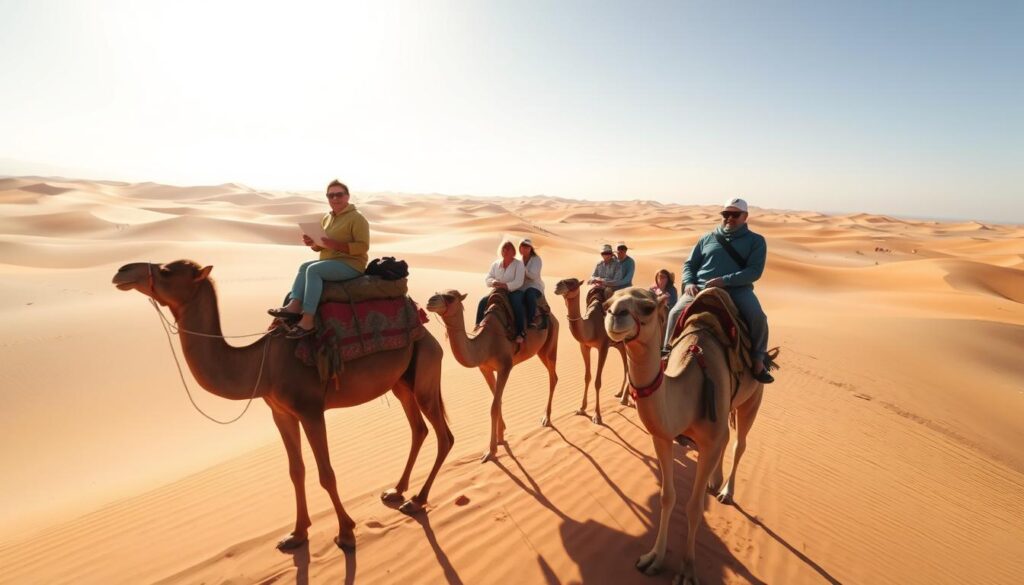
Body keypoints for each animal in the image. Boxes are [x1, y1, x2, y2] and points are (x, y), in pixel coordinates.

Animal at [112, 260, 453, 552]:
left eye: (167, 271)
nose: (122, 271)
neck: (264, 365)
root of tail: (426, 328)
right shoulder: (281, 413)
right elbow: (295, 471)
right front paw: (297, 535)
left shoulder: (311, 410)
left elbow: (326, 473)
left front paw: (345, 533)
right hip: (401, 383)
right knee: (419, 429)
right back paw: (396, 491)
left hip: (424, 375)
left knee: (443, 435)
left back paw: (417, 500)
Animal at [425, 289, 558, 463]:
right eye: (437, 292)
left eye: (450, 297)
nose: (430, 301)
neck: (486, 343)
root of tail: (552, 316)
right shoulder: (485, 368)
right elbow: (497, 400)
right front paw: (501, 436)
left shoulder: (505, 367)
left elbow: (494, 406)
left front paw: (491, 451)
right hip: (541, 350)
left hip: (550, 344)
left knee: (553, 377)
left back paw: (546, 418)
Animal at [553, 278, 629, 424]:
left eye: (572, 282)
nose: (557, 285)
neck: (592, 326)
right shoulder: (584, 346)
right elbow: (587, 377)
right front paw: (581, 408)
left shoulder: (603, 347)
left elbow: (598, 382)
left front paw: (597, 416)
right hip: (621, 345)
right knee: (627, 367)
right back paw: (620, 394)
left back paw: (625, 398)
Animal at [604, 287, 772, 585]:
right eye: (608, 302)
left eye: (647, 307)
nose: (614, 315)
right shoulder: (662, 437)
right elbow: (666, 497)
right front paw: (653, 558)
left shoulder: (706, 439)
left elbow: (694, 507)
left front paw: (687, 570)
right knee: (727, 438)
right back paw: (715, 482)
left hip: (752, 399)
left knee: (739, 443)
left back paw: (726, 491)